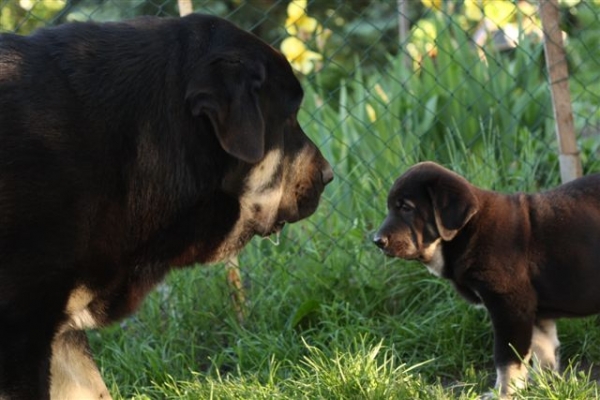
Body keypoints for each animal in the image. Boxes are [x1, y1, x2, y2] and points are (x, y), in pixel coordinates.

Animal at [372, 162, 600, 396]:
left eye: (406, 208)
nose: (377, 241)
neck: (467, 232)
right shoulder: (533, 311)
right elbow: (543, 350)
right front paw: (542, 387)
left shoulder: (509, 307)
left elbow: (507, 358)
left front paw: (504, 392)